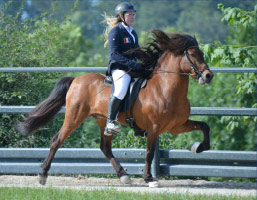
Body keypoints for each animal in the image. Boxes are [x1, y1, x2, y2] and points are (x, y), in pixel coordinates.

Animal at [15, 29, 213, 188]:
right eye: (193, 55)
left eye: (202, 53)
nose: (208, 76)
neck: (165, 88)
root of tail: (76, 80)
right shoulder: (154, 128)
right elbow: (149, 154)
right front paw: (149, 179)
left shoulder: (176, 126)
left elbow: (204, 126)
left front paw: (198, 147)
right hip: (74, 116)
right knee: (57, 140)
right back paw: (42, 176)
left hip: (103, 120)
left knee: (105, 147)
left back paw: (124, 176)